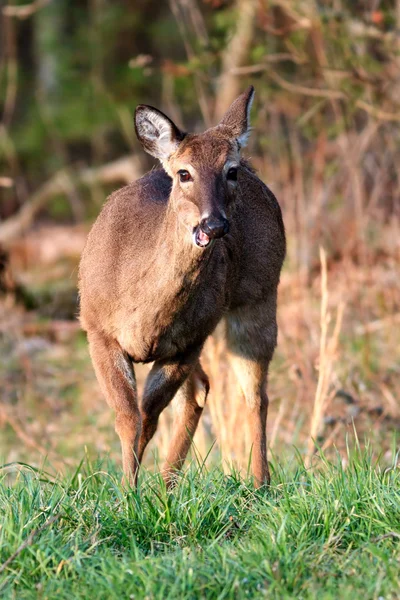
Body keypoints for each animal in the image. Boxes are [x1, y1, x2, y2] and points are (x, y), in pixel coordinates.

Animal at [79, 86, 284, 490]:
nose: (215, 224)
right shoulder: (98, 330)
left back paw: (259, 484)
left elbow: (146, 417)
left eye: (230, 171)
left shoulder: (188, 341)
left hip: (258, 297)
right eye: (184, 173)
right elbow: (129, 417)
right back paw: (168, 483)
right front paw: (130, 491)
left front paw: (130, 492)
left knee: (254, 395)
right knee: (202, 389)